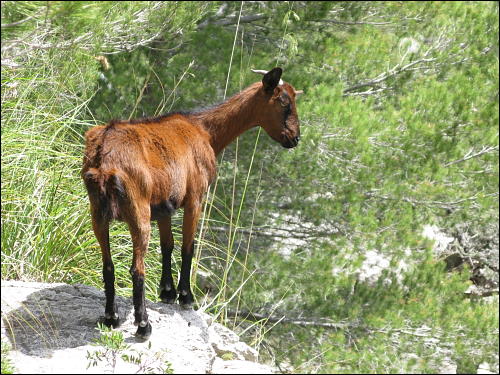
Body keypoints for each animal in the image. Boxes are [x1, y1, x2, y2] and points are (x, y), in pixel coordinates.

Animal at [81, 67, 300, 340]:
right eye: (284, 102)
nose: (295, 138)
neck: (204, 130)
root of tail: (103, 157)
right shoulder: (195, 198)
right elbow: (188, 246)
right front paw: (185, 297)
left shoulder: (163, 206)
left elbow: (167, 245)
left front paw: (167, 293)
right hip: (137, 210)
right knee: (136, 269)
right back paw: (143, 325)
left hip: (97, 212)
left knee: (108, 265)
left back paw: (111, 318)